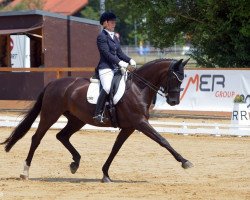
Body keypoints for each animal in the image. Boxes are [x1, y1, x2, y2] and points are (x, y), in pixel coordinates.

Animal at [0, 58, 193, 183]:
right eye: (174, 77)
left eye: (182, 78)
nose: (174, 102)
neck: (138, 88)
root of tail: (52, 84)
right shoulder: (139, 123)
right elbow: (163, 140)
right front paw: (185, 162)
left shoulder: (129, 127)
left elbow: (115, 149)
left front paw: (105, 174)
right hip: (50, 115)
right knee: (37, 138)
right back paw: (25, 172)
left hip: (77, 120)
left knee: (62, 136)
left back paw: (75, 162)